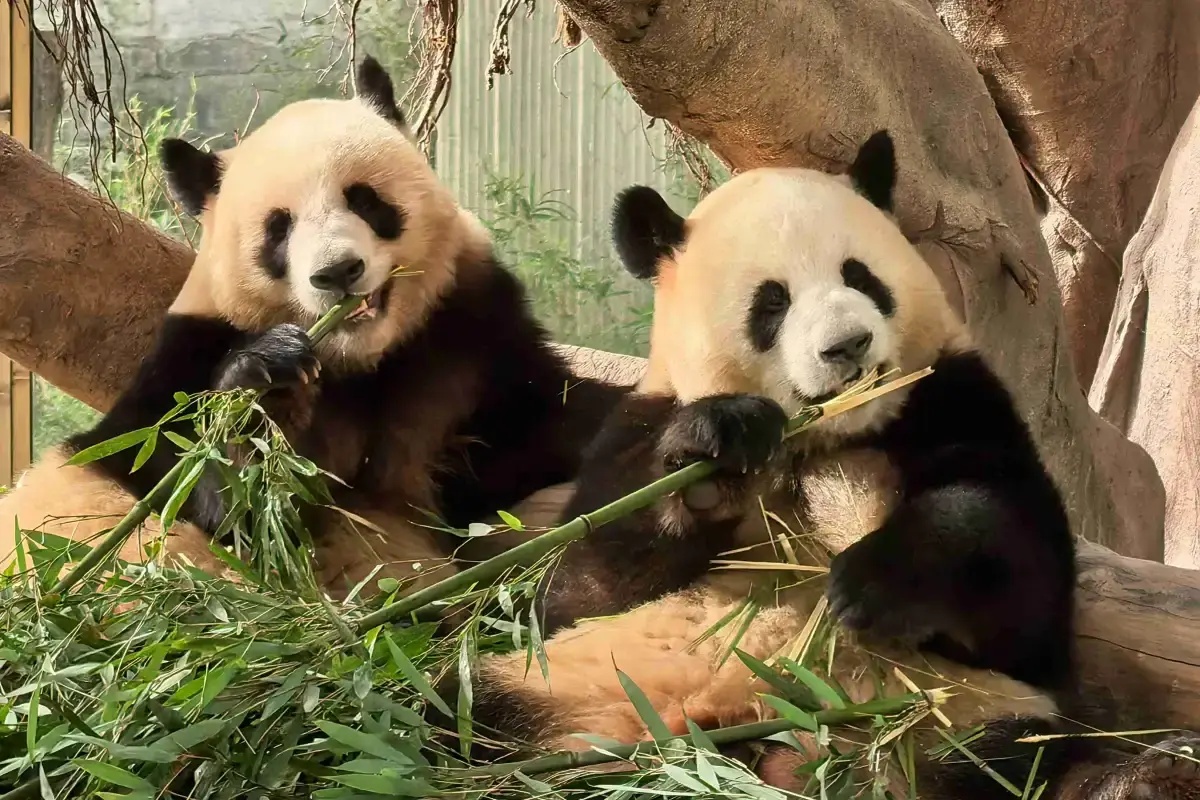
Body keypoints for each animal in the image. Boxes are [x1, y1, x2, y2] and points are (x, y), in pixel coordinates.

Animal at [0, 56, 626, 598]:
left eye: (365, 199)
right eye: (279, 229)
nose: (337, 272)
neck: (360, 359)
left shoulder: (468, 336)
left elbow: (539, 434)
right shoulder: (184, 365)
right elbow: (210, 496)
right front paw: (264, 387)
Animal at [464, 131, 1200, 799]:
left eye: (860, 275)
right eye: (772, 301)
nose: (848, 345)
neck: (823, 439)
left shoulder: (954, 398)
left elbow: (1020, 579)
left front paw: (872, 581)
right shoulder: (637, 425)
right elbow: (575, 587)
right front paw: (716, 448)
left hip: (958, 713)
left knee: (1016, 759)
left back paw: (1141, 776)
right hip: (569, 696)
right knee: (471, 712)